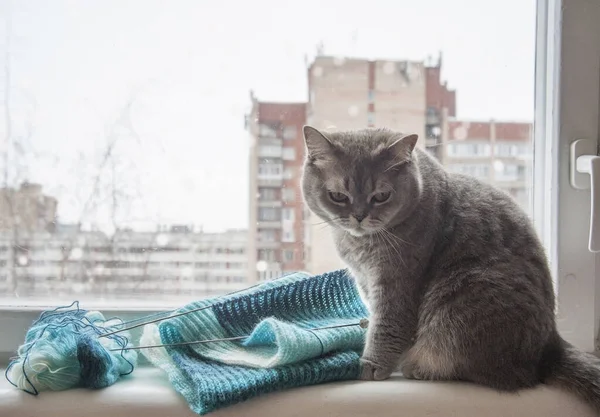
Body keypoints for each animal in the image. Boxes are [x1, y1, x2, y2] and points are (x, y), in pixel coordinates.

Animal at [302, 125, 600, 412]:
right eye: (338, 196)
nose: (359, 216)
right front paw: (365, 324)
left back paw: (417, 367)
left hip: (462, 300)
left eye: (382, 196)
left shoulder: (397, 281)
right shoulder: (365, 279)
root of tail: (551, 346)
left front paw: (371, 364)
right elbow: (375, 313)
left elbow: (387, 326)